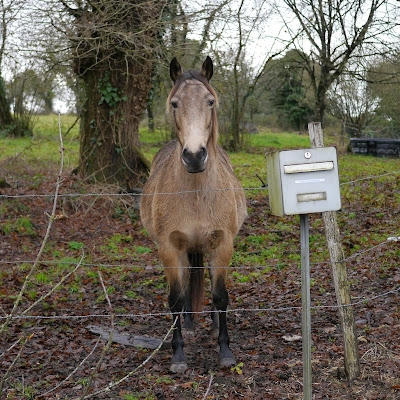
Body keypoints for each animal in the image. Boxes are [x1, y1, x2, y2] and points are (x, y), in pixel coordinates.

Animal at [141, 55, 247, 372]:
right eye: (175, 103)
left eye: (210, 102)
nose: (195, 156)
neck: (197, 194)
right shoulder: (169, 248)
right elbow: (175, 299)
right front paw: (178, 354)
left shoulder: (223, 245)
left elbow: (220, 296)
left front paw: (225, 350)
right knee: (188, 281)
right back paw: (188, 325)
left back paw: (211, 326)